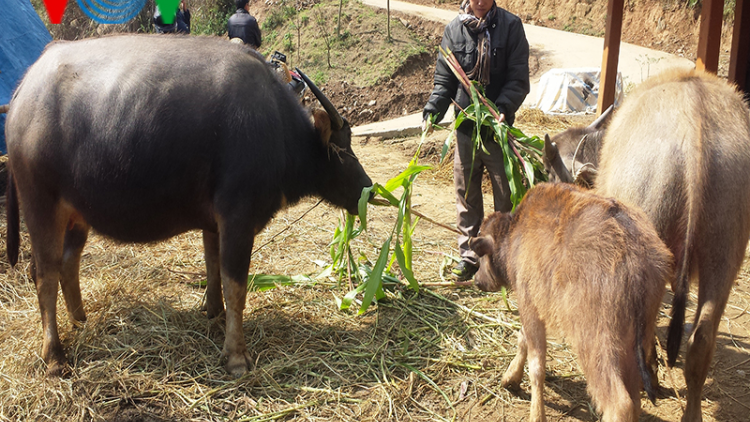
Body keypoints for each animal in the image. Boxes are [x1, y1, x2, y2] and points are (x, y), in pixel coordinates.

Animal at [2, 34, 374, 378]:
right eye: (342, 148)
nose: (367, 188)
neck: (278, 132)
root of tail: (24, 92)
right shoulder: (238, 218)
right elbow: (236, 285)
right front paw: (236, 356)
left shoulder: (215, 223)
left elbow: (213, 267)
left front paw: (214, 313)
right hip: (41, 207)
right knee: (44, 274)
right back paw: (54, 356)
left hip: (76, 216)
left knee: (69, 262)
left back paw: (80, 319)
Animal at [472, 184, 672, 422]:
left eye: (481, 256)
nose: (477, 280)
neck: (514, 234)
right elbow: (523, 340)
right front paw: (510, 378)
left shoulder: (529, 304)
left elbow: (535, 363)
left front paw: (535, 412)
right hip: (635, 340)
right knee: (634, 398)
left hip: (596, 343)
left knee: (620, 403)